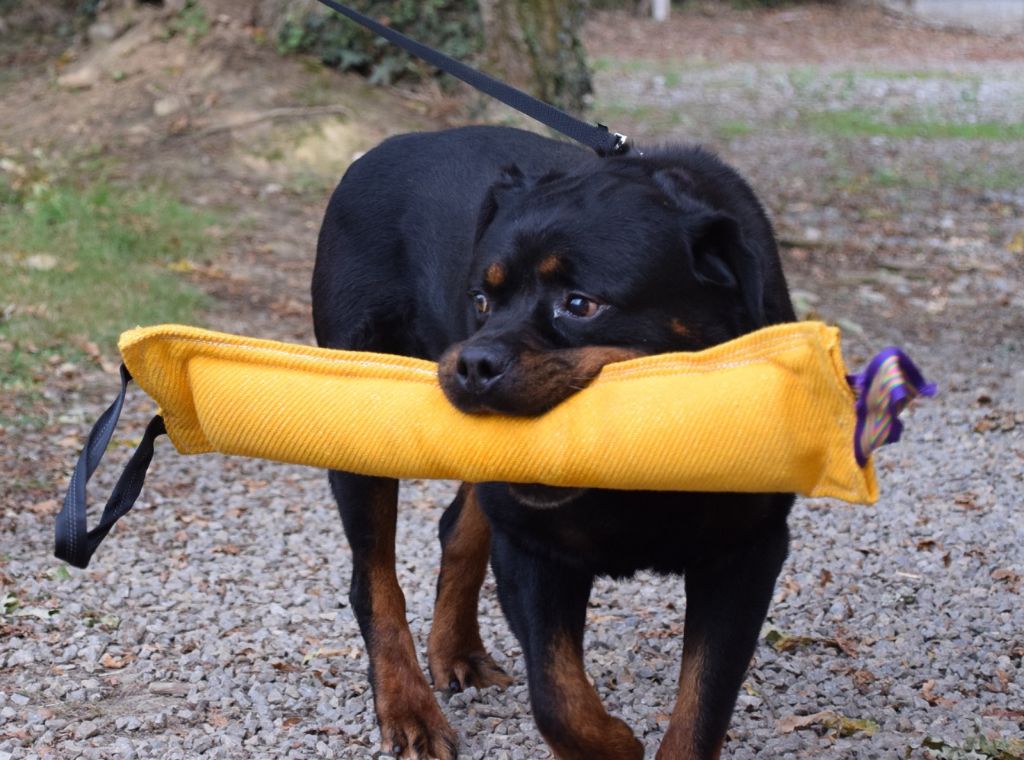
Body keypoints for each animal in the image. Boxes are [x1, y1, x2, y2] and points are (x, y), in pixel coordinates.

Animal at [311, 128, 798, 757]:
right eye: (480, 301)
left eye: (581, 304)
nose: (472, 364)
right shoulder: (531, 546)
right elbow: (557, 698)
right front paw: (615, 745)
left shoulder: (747, 552)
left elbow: (702, 709)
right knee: (373, 581)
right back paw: (408, 705)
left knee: (457, 526)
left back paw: (457, 651)